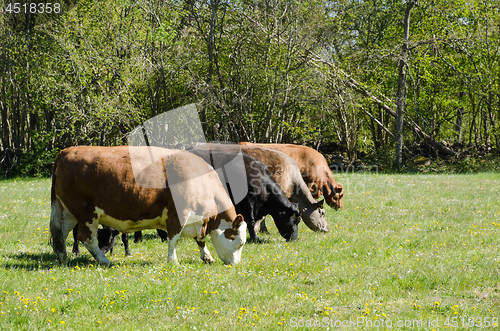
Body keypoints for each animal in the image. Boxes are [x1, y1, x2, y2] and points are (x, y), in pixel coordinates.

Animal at [50, 147, 246, 266]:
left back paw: (62, 257)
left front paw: (207, 256)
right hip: (86, 213)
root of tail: (68, 151)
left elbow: (200, 240)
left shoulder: (199, 221)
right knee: (86, 238)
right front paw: (173, 260)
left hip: (66, 211)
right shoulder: (178, 214)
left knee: (60, 232)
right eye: (240, 242)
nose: (236, 265)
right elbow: (173, 239)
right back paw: (104, 260)